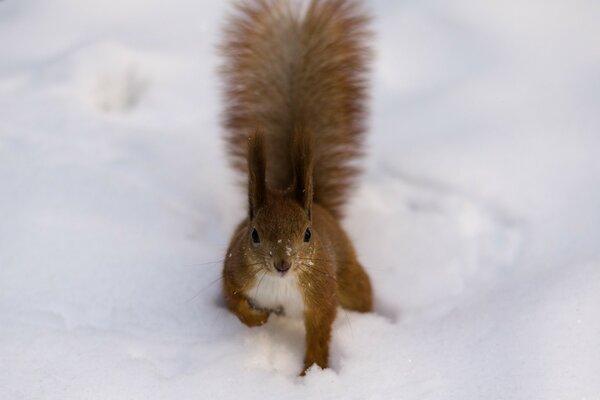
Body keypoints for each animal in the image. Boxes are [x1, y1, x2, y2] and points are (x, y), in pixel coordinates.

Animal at [218, 0, 372, 376]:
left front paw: (311, 373)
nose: (282, 263)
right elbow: (234, 302)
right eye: (254, 234)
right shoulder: (233, 271)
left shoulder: (321, 293)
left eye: (307, 234)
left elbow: (320, 332)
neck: (280, 284)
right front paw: (257, 321)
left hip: (349, 277)